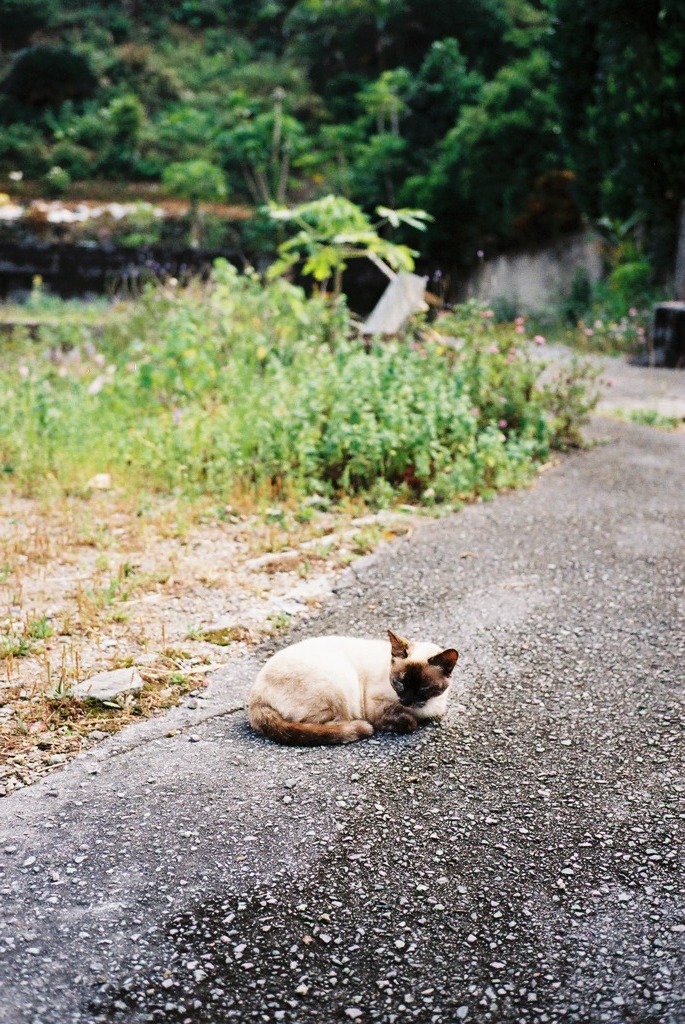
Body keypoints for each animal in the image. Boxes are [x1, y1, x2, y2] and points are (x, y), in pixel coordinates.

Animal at [248, 622, 456, 745]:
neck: (424, 709)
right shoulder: (376, 706)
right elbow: (404, 722)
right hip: (340, 683)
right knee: (324, 726)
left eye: (424, 688)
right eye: (399, 683)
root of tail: (255, 694)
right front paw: (407, 721)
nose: (406, 701)